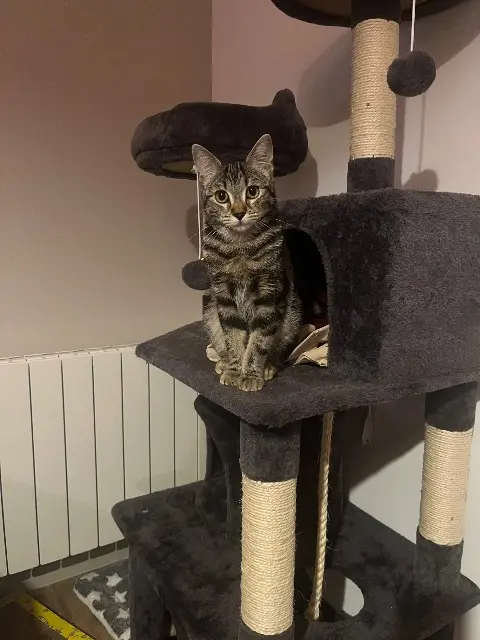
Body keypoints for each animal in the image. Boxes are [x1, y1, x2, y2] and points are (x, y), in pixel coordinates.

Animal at [192, 134, 302, 392]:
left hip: (292, 314)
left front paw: (251, 373)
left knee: (277, 348)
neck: (240, 247)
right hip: (210, 313)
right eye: (221, 196)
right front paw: (234, 369)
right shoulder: (223, 296)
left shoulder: (268, 294)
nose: (239, 212)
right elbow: (233, 337)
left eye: (252, 191)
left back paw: (269, 366)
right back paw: (223, 362)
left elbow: (258, 340)